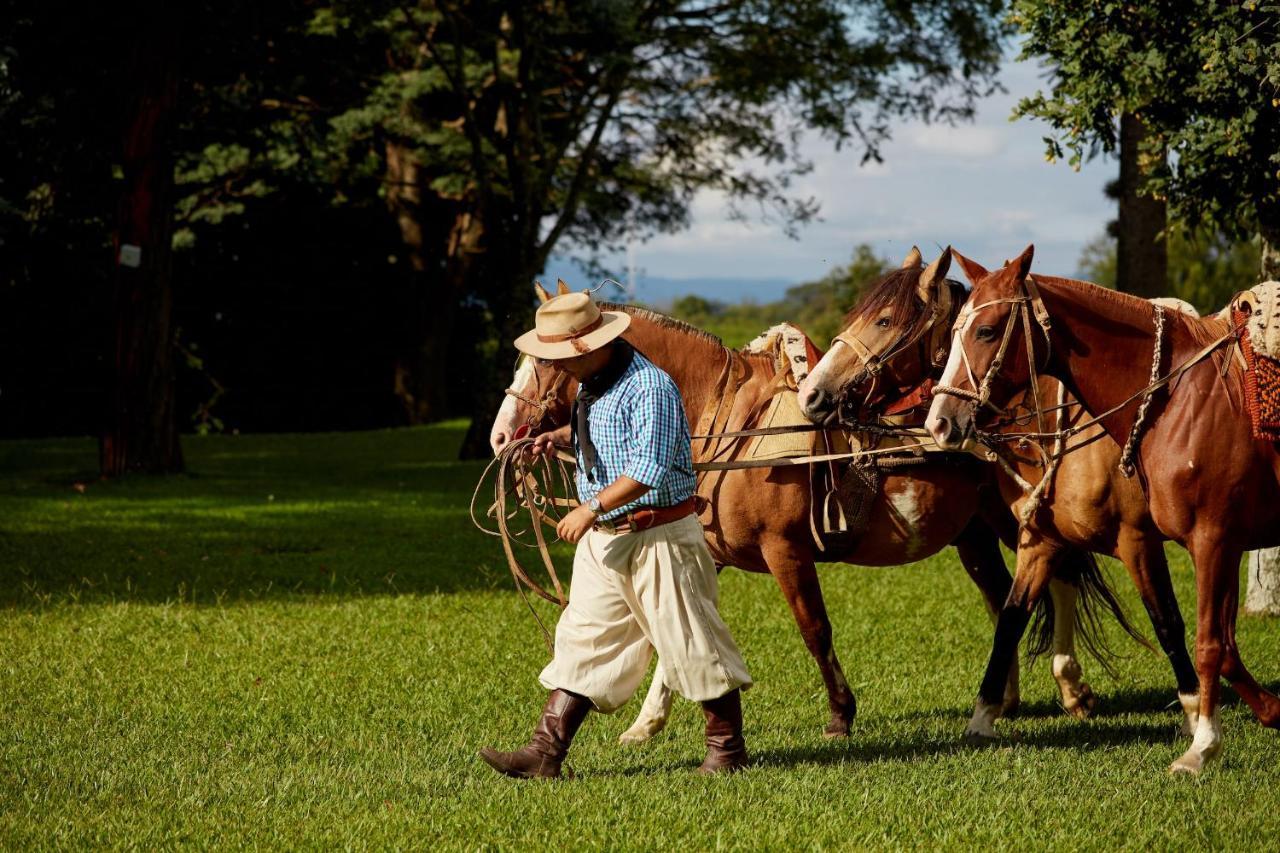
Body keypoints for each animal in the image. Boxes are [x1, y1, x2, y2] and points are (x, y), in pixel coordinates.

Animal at [483, 289, 1126, 742]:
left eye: (543, 366)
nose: (501, 436)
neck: (729, 424)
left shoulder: (785, 550)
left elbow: (814, 628)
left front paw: (841, 714)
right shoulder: (708, 551)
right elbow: (676, 632)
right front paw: (645, 725)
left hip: (1017, 518)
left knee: (1058, 579)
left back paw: (1072, 689)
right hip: (973, 534)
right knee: (1004, 596)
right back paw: (1009, 699)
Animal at [926, 244, 1280, 768]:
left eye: (986, 331)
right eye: (950, 335)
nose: (940, 423)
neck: (1177, 402)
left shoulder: (1187, 541)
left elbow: (1191, 634)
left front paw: (1200, 739)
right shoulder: (1043, 542)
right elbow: (1010, 620)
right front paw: (982, 719)